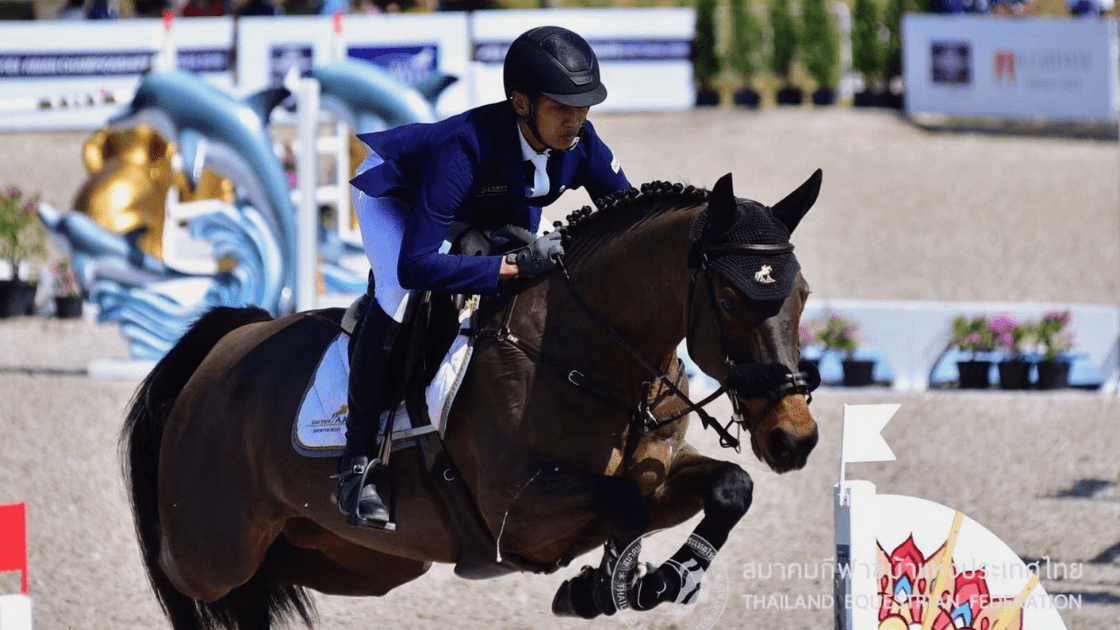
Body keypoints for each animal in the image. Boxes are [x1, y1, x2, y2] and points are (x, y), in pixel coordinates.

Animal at [120, 170, 824, 629]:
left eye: (803, 294)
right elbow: (623, 502)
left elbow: (728, 487)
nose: (795, 438)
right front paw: (607, 585)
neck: (585, 348)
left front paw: (655, 581)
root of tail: (223, 350)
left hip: (360, 560)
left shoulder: (659, 473)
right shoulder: (519, 512)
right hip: (212, 548)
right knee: (182, 573)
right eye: (729, 299)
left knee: (268, 581)